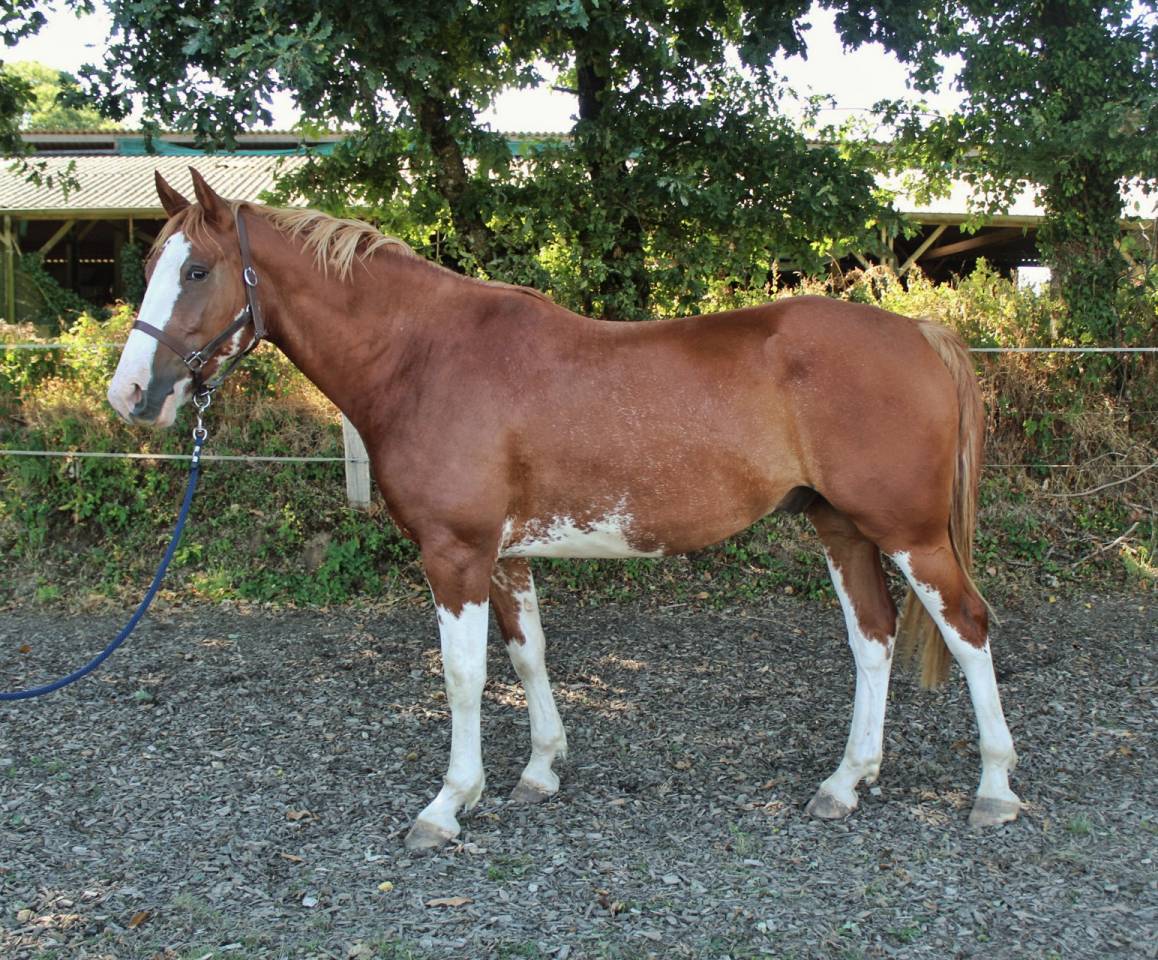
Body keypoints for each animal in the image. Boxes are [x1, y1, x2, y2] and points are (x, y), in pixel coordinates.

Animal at [107, 169, 1021, 850]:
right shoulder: (503, 555)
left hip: (909, 533)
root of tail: (920, 333)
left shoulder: (455, 554)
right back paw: (845, 783)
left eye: (196, 271)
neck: (425, 357)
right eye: (151, 265)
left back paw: (994, 789)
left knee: (968, 628)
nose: (130, 395)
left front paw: (449, 803)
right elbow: (528, 658)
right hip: (840, 527)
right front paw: (541, 771)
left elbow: (465, 676)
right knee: (872, 638)